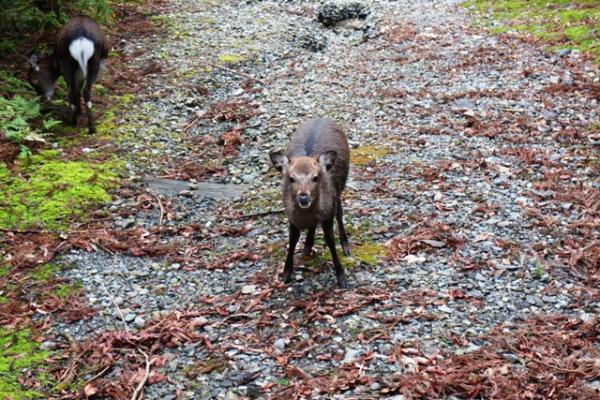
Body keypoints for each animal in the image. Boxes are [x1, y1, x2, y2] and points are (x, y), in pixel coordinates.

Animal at [268, 117, 350, 290]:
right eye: (291, 178)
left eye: (316, 177)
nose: (304, 198)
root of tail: (323, 118)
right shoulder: (291, 216)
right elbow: (292, 240)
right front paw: (286, 273)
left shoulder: (328, 212)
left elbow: (330, 240)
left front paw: (341, 276)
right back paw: (307, 246)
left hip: (339, 189)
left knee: (340, 213)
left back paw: (345, 244)